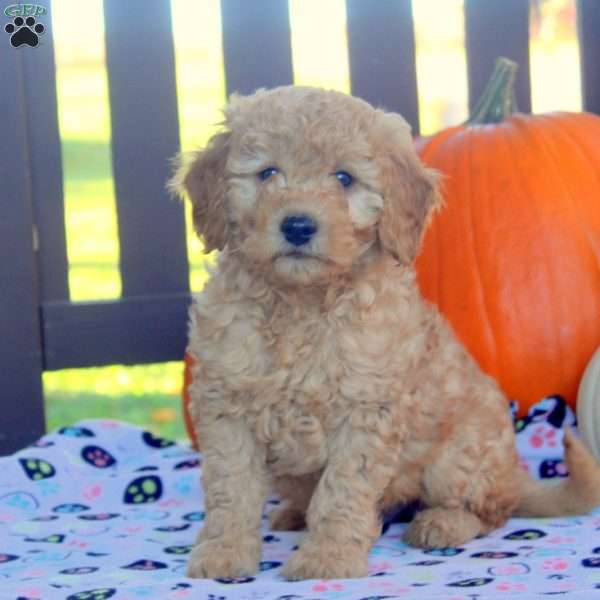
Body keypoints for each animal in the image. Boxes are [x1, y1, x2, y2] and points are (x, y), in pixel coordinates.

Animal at [170, 86, 600, 580]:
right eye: (267, 173)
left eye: (344, 178)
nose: (298, 224)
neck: (301, 305)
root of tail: (513, 474)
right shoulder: (226, 408)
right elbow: (232, 488)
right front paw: (224, 551)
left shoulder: (364, 415)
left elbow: (340, 493)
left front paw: (328, 558)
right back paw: (293, 513)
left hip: (458, 458)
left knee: (491, 509)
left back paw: (442, 524)